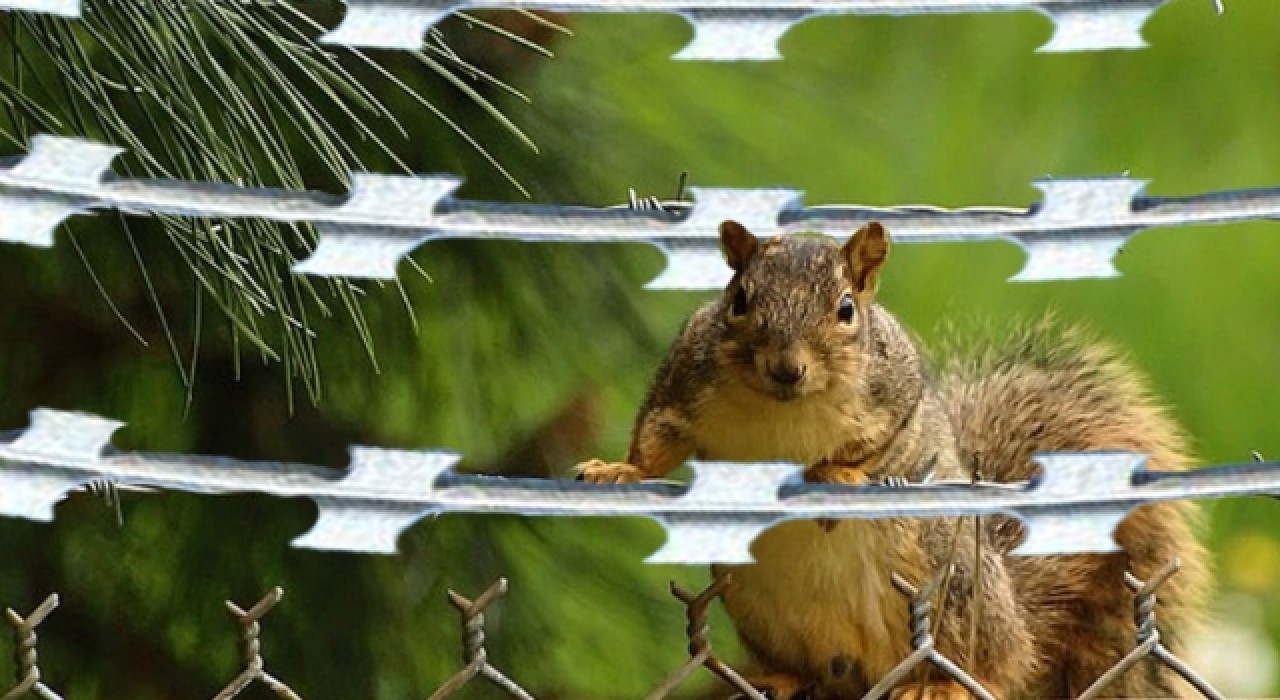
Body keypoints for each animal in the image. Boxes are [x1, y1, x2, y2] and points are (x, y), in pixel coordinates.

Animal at [581, 222, 1208, 700]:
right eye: (738, 301)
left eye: (845, 309)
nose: (786, 368)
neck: (782, 411)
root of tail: (1021, 635)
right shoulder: (682, 383)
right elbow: (655, 437)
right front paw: (619, 470)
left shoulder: (898, 400)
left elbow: (879, 451)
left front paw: (835, 477)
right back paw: (782, 677)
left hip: (954, 589)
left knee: (987, 670)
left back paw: (945, 685)